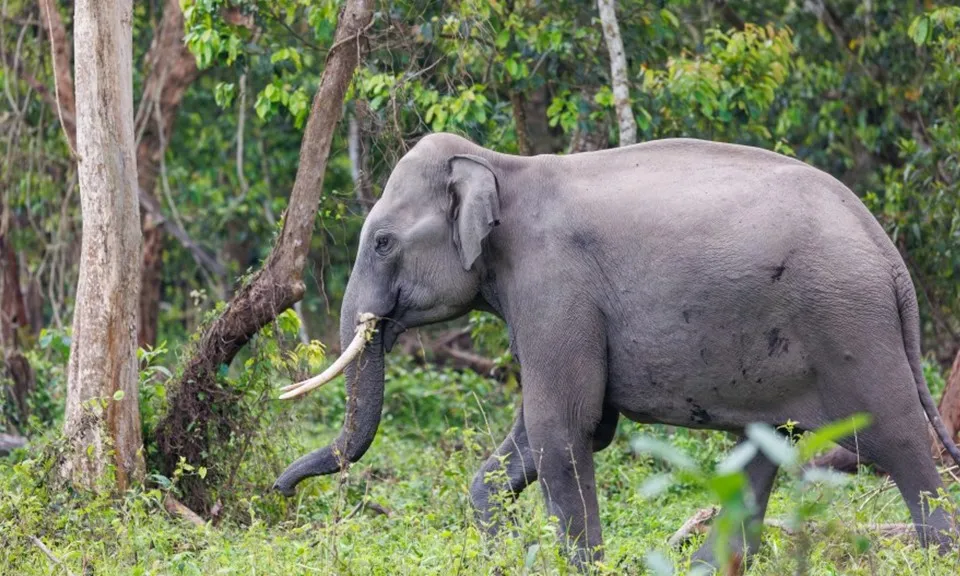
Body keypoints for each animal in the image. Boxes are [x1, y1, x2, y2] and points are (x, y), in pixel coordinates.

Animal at [272, 133, 960, 568]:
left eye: (383, 241)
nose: (280, 492)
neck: (501, 166)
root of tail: (890, 256)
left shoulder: (555, 286)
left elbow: (564, 429)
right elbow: (549, 432)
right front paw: (504, 556)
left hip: (849, 326)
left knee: (899, 441)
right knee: (762, 449)